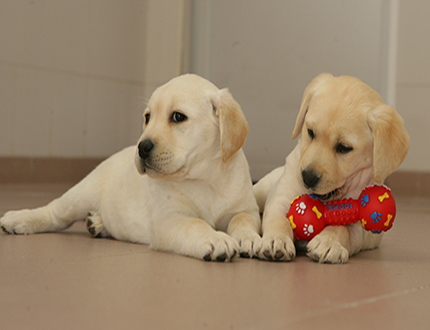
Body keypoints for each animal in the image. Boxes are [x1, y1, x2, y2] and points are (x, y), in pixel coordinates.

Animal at [1, 73, 262, 262]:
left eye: (178, 117)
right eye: (147, 117)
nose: (142, 147)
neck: (205, 177)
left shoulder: (246, 209)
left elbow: (242, 220)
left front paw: (249, 238)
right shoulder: (168, 220)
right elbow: (195, 223)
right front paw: (216, 239)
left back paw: (98, 224)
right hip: (80, 195)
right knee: (54, 213)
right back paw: (17, 219)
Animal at [255, 73, 410, 264]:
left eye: (344, 147)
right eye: (310, 132)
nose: (308, 177)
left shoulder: (358, 225)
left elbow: (341, 228)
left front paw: (327, 243)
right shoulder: (280, 198)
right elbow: (279, 220)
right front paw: (276, 240)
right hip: (262, 189)